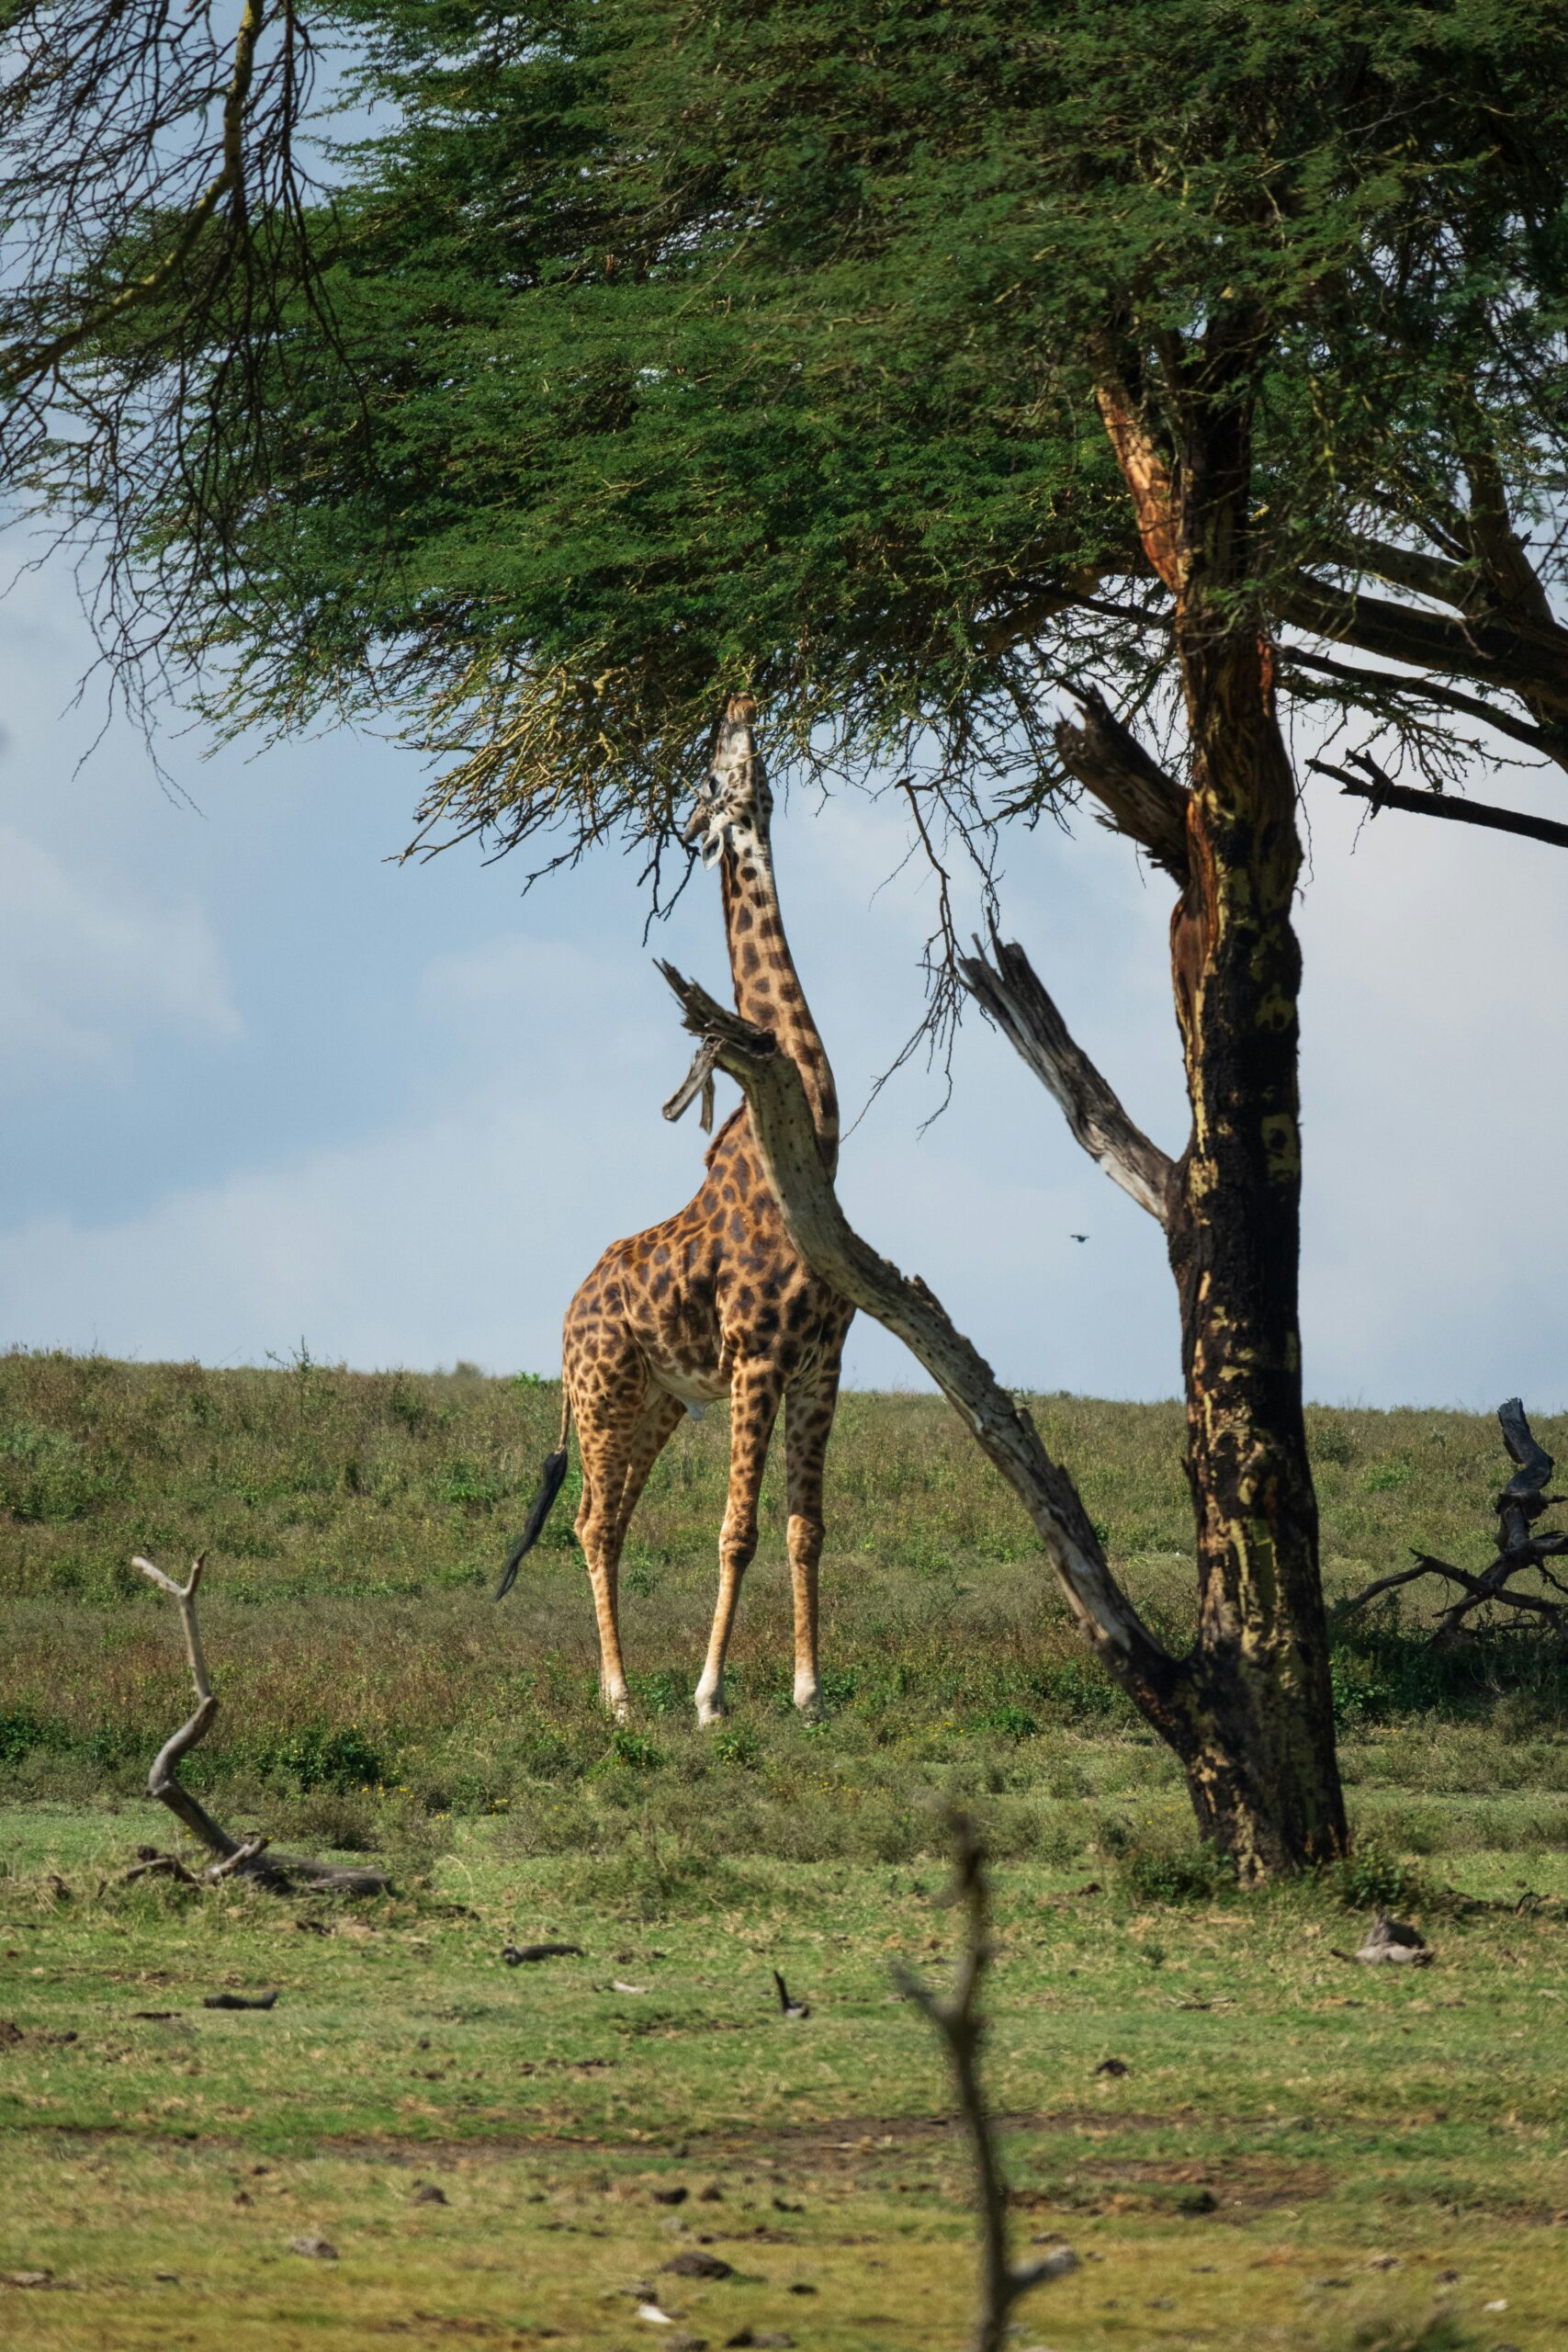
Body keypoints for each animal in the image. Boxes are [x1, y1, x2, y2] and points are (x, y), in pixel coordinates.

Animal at [497, 697, 854, 1726]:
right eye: (717, 770)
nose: (738, 705)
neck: (811, 1144)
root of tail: (564, 1318)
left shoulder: (823, 1366)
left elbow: (805, 1527)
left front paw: (809, 1691)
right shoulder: (759, 1358)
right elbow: (736, 1531)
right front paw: (709, 1694)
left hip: (655, 1400)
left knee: (609, 1520)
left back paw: (615, 1689)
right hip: (605, 1391)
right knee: (589, 1519)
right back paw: (620, 1696)